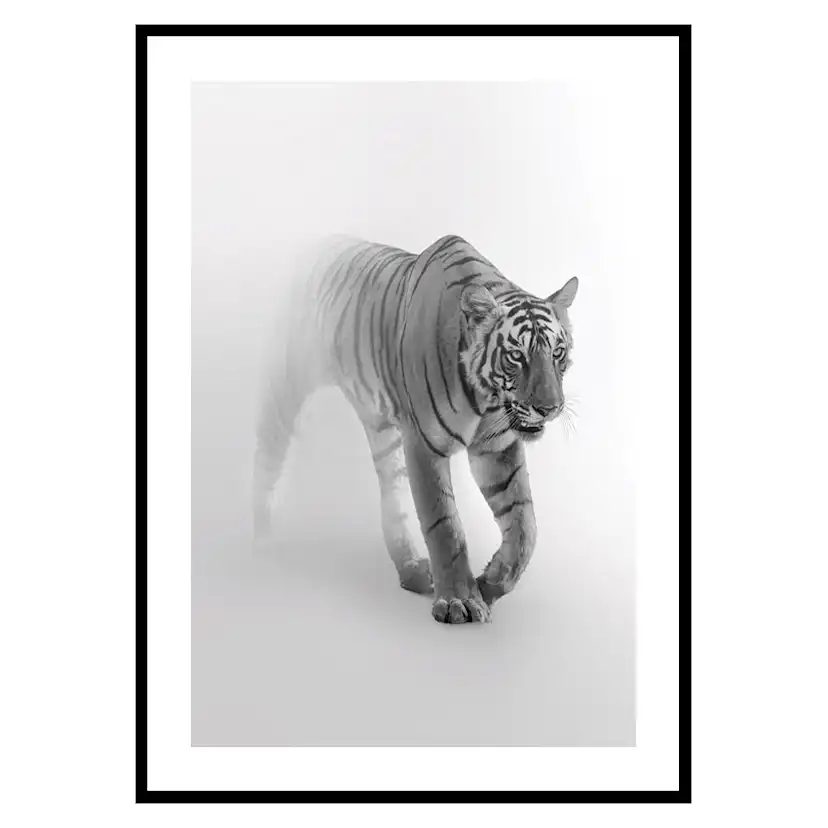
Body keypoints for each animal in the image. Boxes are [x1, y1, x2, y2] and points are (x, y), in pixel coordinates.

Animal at [253, 234, 578, 624]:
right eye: (516, 356)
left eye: (558, 353)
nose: (550, 408)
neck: (486, 401)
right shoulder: (424, 444)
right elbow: (445, 525)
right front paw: (459, 600)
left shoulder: (496, 447)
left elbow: (525, 524)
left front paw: (491, 582)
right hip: (291, 376)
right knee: (268, 448)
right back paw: (258, 530)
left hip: (383, 431)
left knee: (393, 499)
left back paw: (411, 570)